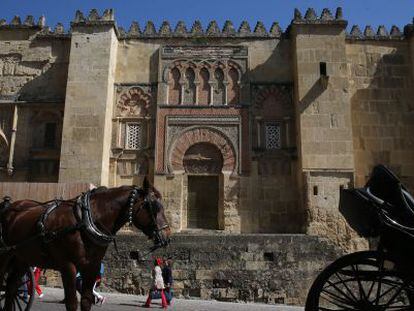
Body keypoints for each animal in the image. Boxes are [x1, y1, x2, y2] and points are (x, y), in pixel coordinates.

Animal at [0, 178, 171, 311]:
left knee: (11, 288)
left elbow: (86, 301)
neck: (85, 220)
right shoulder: (68, 266)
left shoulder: (92, 267)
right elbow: (72, 303)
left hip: (22, 258)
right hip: (6, 255)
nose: (167, 236)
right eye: (154, 206)